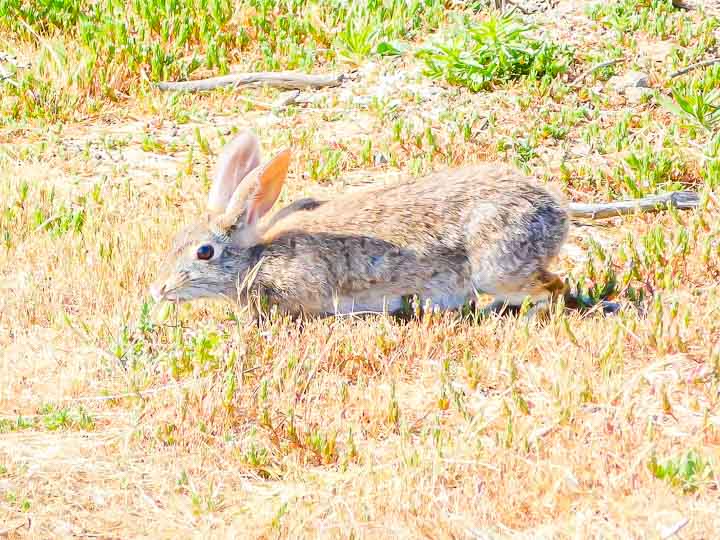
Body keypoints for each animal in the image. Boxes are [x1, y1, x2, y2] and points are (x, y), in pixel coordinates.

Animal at [149, 130, 572, 316]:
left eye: (205, 252)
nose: (159, 289)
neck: (255, 260)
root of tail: (556, 212)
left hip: (497, 267)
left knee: (553, 287)